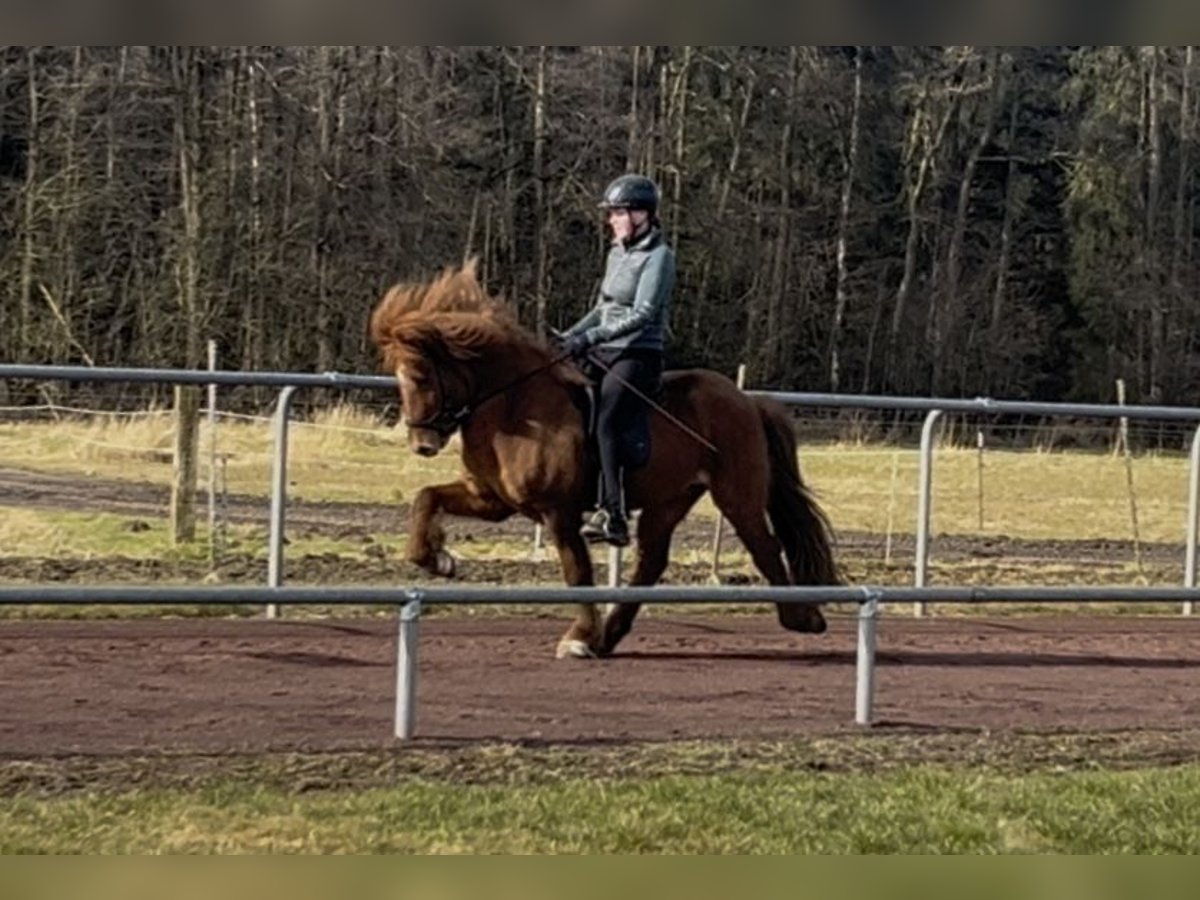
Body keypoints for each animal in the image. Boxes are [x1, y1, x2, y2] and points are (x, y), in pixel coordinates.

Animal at [369, 260, 840, 662]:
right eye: (397, 376)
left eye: (421, 375)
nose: (422, 443)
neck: (517, 405)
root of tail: (746, 400)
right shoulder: (493, 500)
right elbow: (425, 498)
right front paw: (437, 560)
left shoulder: (557, 511)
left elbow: (576, 572)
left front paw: (578, 638)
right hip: (670, 499)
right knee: (651, 561)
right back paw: (611, 637)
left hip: (736, 495)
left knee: (765, 545)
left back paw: (803, 617)